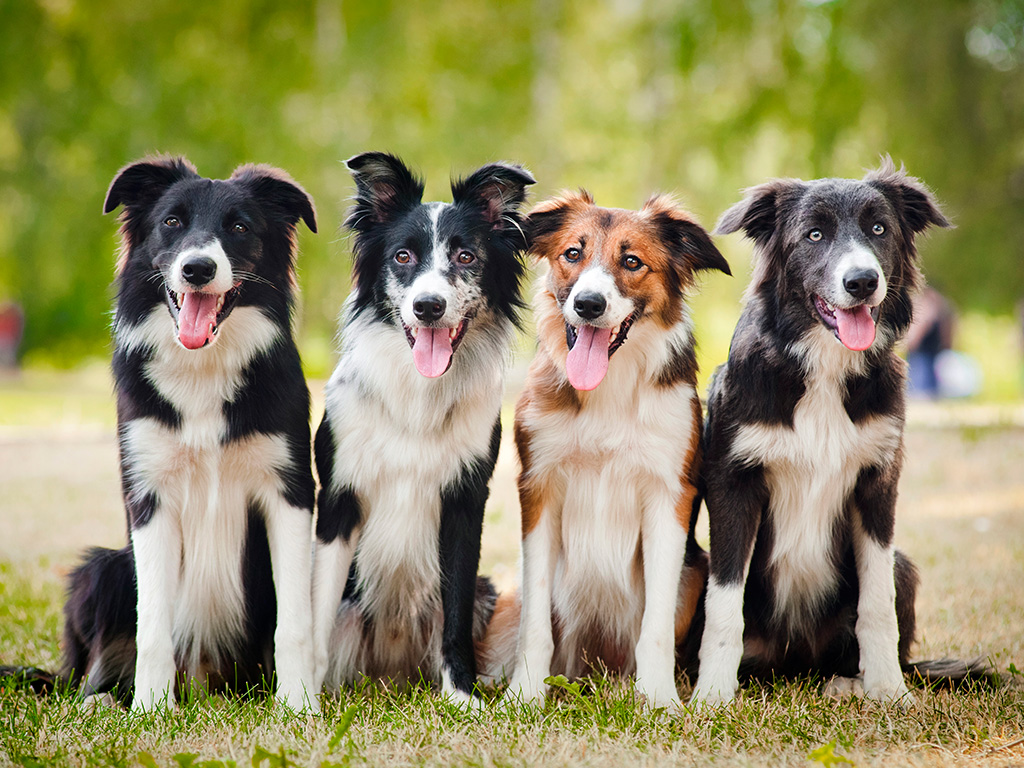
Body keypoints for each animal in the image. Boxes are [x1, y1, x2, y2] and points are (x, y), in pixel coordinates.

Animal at [60, 154, 315, 708]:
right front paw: (150, 710)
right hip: (103, 568)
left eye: (240, 227)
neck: (204, 368)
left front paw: (299, 707)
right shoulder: (150, 496)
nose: (198, 269)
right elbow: (153, 625)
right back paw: (103, 699)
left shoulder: (288, 491)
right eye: (172, 222)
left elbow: (294, 622)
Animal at [311, 153, 536, 708]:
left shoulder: (464, 500)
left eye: (466, 256)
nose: (428, 306)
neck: (418, 393)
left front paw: (461, 695)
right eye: (403, 256)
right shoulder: (339, 499)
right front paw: (303, 696)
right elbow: (317, 615)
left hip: (487, 589)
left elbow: (454, 616)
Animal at [477, 191, 729, 708]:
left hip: (695, 573)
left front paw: (659, 698)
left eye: (632, 262)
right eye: (573, 253)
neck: (609, 386)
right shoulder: (539, 489)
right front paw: (525, 694)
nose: (588, 304)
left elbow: (654, 626)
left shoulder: (668, 496)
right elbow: (536, 623)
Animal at [688, 159, 950, 708]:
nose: (862, 281)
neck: (823, 366)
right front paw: (712, 696)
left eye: (879, 229)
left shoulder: (877, 483)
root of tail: (795, 661)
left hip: (903, 565)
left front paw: (889, 691)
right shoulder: (733, 483)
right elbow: (725, 602)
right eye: (814, 235)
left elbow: (877, 604)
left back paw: (849, 682)